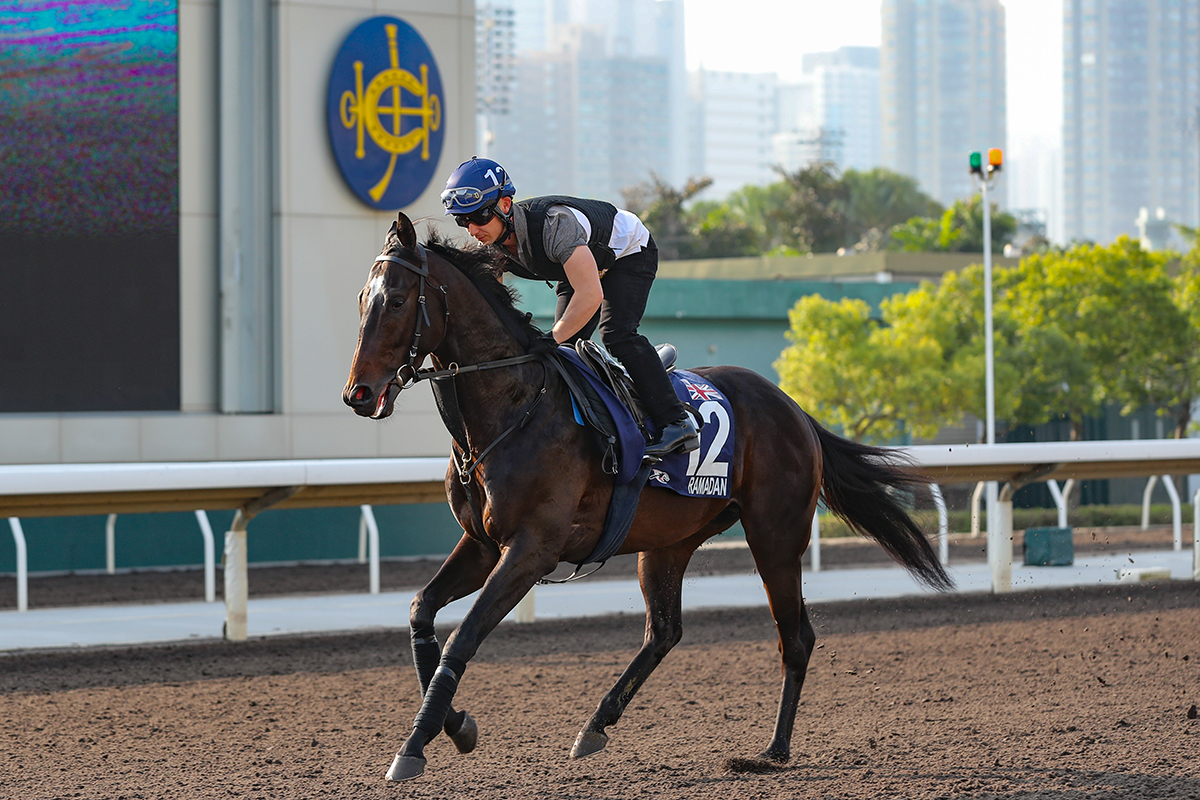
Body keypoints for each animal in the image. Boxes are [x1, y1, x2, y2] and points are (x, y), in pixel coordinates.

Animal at [343, 212, 950, 782]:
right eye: (361, 300)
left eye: (396, 300)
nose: (359, 395)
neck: (513, 406)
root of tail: (792, 407)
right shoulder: (483, 544)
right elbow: (422, 616)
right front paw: (456, 726)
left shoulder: (532, 548)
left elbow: (461, 639)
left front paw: (413, 747)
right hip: (668, 543)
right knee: (664, 631)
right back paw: (595, 724)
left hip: (775, 537)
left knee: (795, 637)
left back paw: (773, 750)